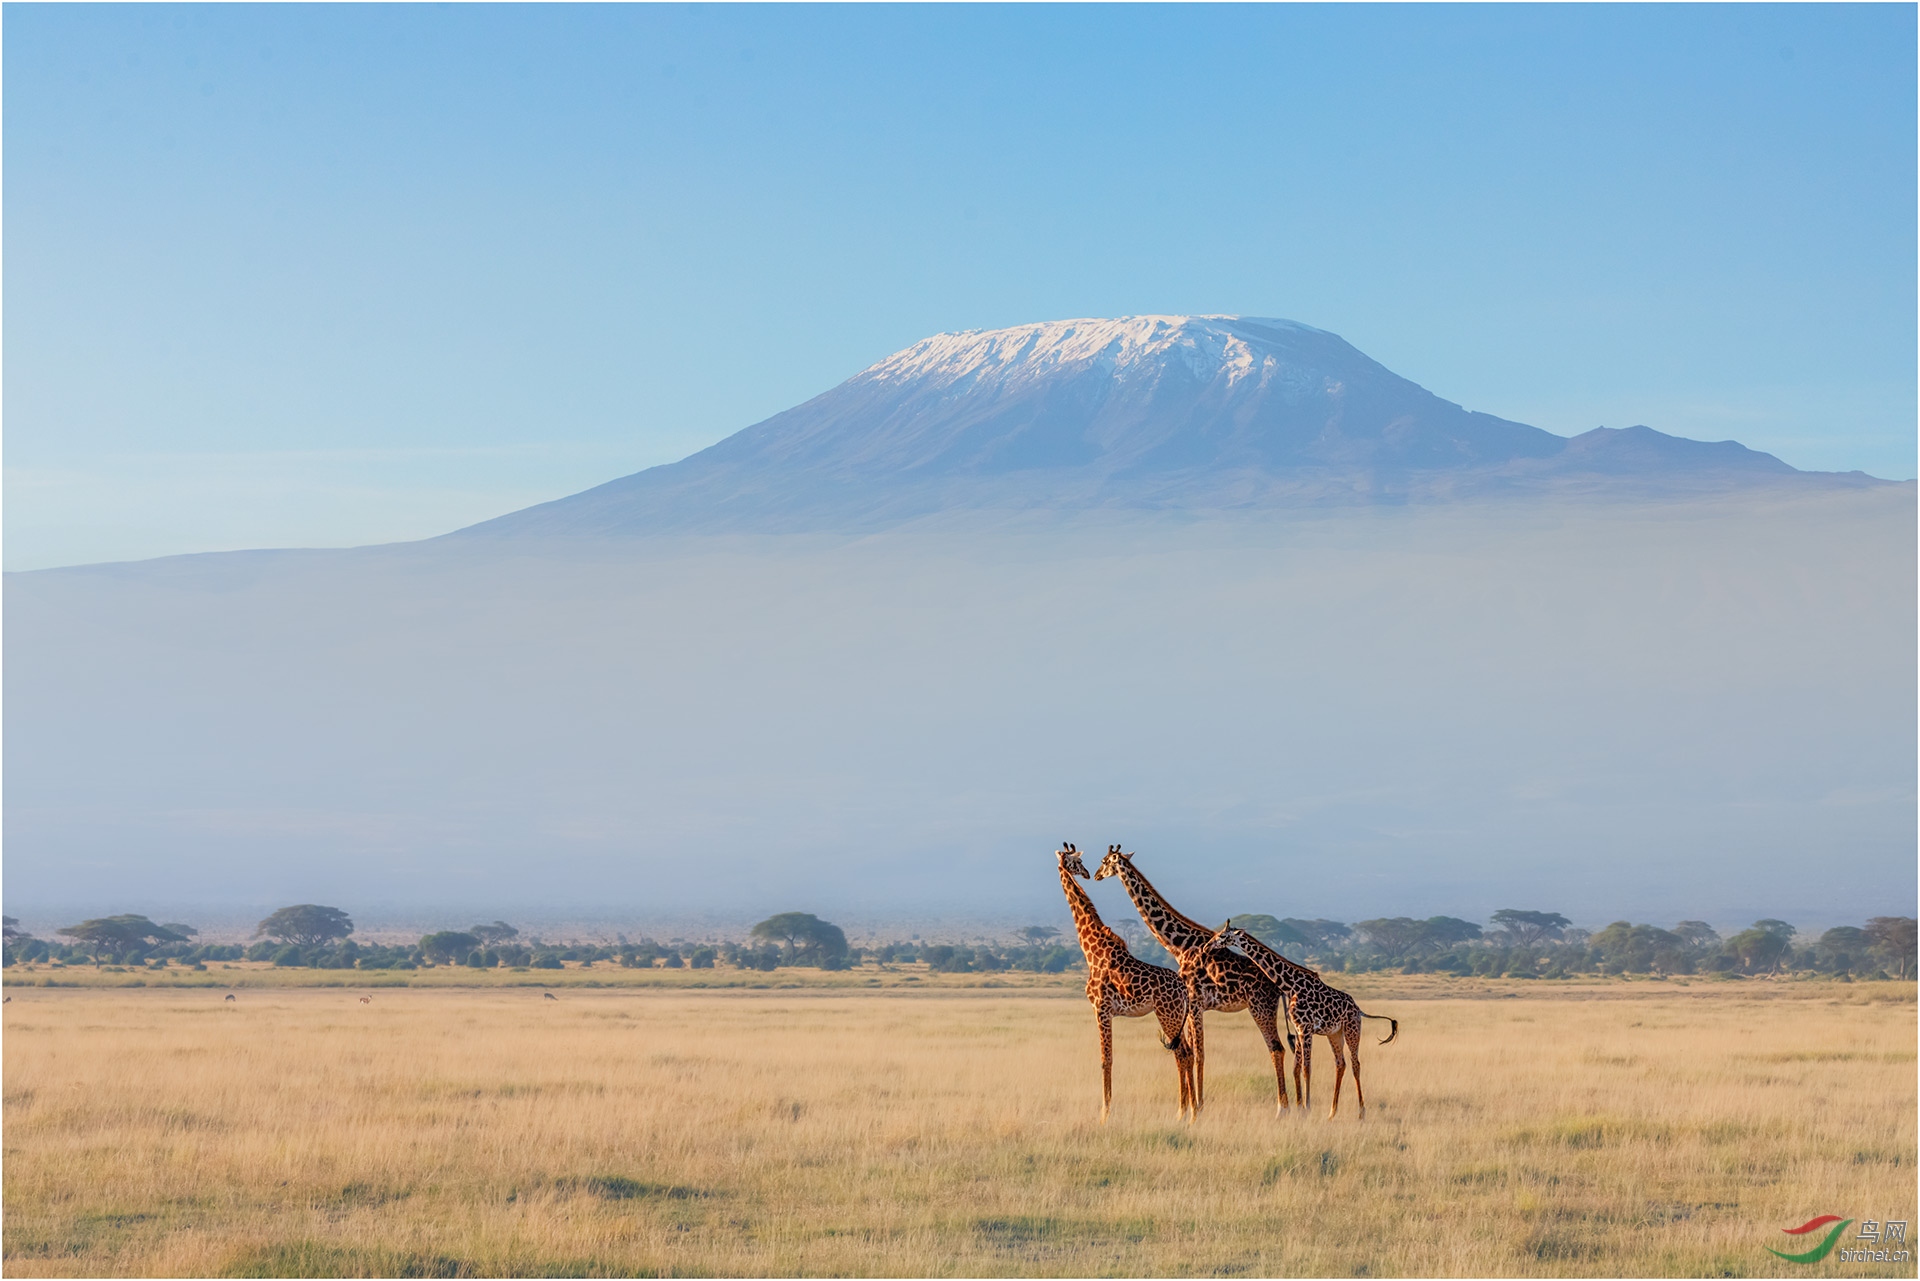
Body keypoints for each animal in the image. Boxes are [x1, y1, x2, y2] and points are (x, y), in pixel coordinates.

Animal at [1059, 841, 1190, 1121]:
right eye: (1077, 861)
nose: (1090, 875)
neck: (1091, 951)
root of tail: (1184, 990)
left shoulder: (1101, 1008)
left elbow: (1105, 1059)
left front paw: (1105, 1114)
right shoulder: (1104, 1011)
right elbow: (1107, 1058)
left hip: (1168, 1015)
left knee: (1182, 1054)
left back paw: (1183, 1112)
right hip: (1175, 1017)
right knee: (1187, 1052)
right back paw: (1190, 1111)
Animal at [1090, 852, 1297, 1113]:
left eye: (1105, 861)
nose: (1096, 875)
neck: (1179, 945)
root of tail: (1278, 985)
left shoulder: (1195, 1002)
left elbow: (1198, 1054)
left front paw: (1197, 1106)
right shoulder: (1192, 1006)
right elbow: (1190, 1052)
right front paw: (1190, 1106)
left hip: (1260, 1007)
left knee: (1276, 1048)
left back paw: (1282, 1108)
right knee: (1277, 1048)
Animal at [1205, 921, 1405, 1121]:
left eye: (1223, 936)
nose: (1207, 946)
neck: (1291, 985)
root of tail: (1358, 1009)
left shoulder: (1306, 1028)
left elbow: (1306, 1068)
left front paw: (1307, 1109)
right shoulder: (1298, 1028)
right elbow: (1297, 1068)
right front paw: (1300, 1109)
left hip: (1352, 1029)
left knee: (1356, 1064)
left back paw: (1361, 1113)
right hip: (1334, 1034)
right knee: (1340, 1064)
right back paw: (1332, 1113)